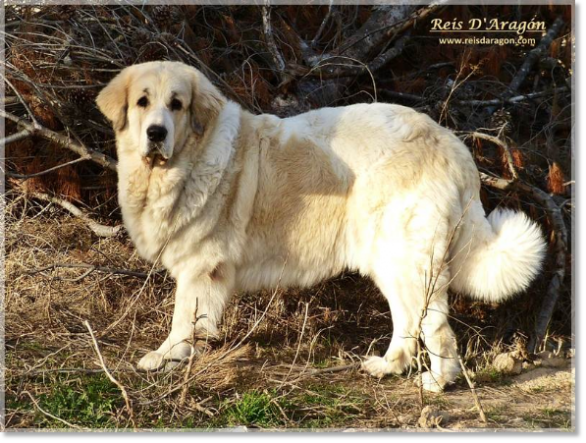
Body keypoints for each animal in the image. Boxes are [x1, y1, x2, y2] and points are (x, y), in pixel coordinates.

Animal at [96, 59, 544, 392]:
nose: (156, 133)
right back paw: (388, 365)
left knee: (436, 327)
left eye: (177, 104)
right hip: (389, 262)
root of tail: (451, 144)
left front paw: (166, 356)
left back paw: (437, 382)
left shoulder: (200, 268)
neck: (185, 162)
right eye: (142, 102)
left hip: (410, 261)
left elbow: (181, 318)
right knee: (406, 321)